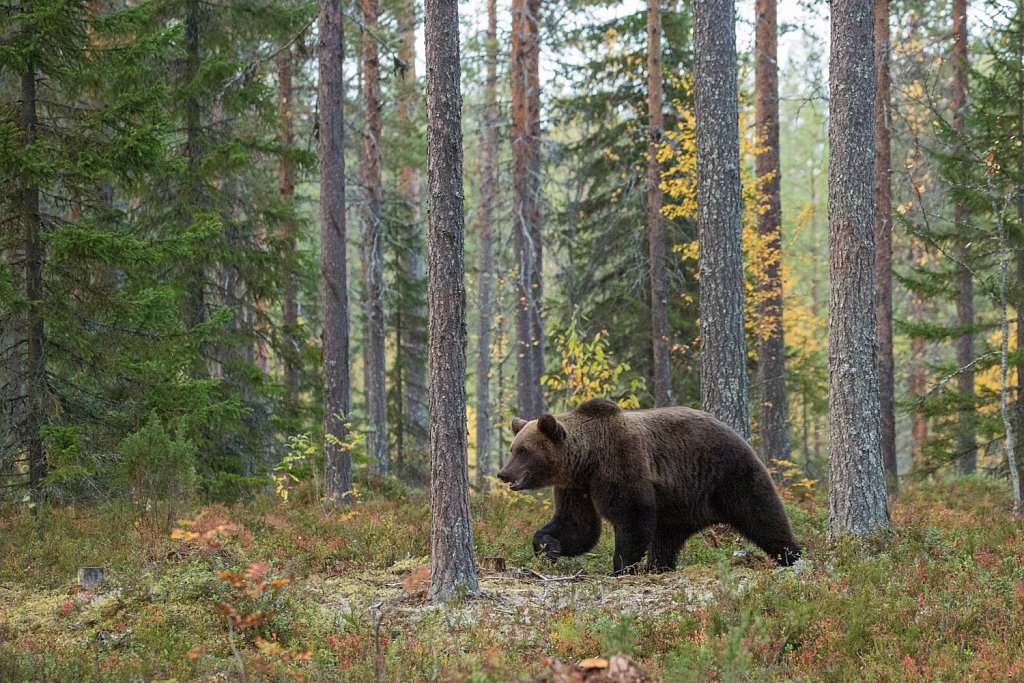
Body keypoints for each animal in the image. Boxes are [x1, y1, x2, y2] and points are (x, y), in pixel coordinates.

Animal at [495, 397, 798, 573]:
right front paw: (549, 547)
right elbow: (578, 525)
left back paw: (791, 555)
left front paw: (619, 567)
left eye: (523, 451)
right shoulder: (576, 487)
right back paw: (659, 567)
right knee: (666, 538)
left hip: (728, 474)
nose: (503, 473)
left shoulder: (621, 464)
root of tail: (732, 431)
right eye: (513, 449)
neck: (588, 459)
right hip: (680, 502)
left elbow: (632, 515)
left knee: (763, 515)